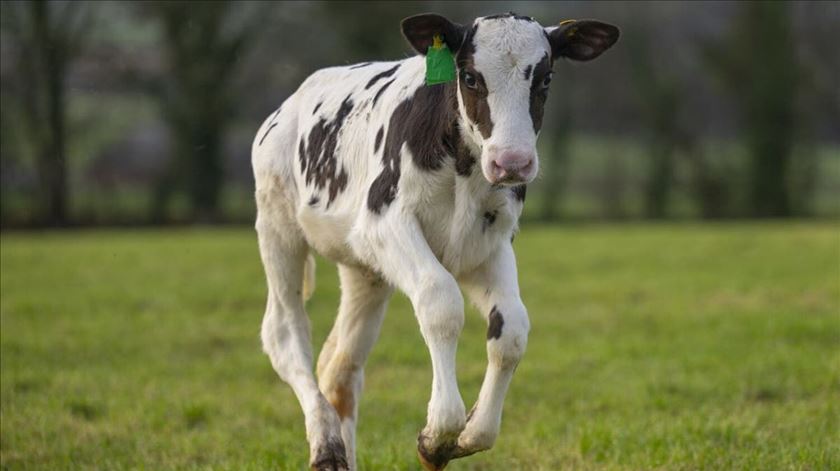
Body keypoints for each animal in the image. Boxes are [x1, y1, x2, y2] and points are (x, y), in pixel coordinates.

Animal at [251, 12, 619, 470]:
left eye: (546, 77)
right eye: (470, 77)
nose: (512, 162)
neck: (463, 168)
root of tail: (290, 103)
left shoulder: (491, 243)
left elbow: (512, 330)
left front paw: (470, 433)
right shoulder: (385, 222)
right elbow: (441, 303)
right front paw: (439, 433)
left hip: (364, 270)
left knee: (339, 365)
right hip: (277, 225)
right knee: (284, 331)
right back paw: (325, 444)